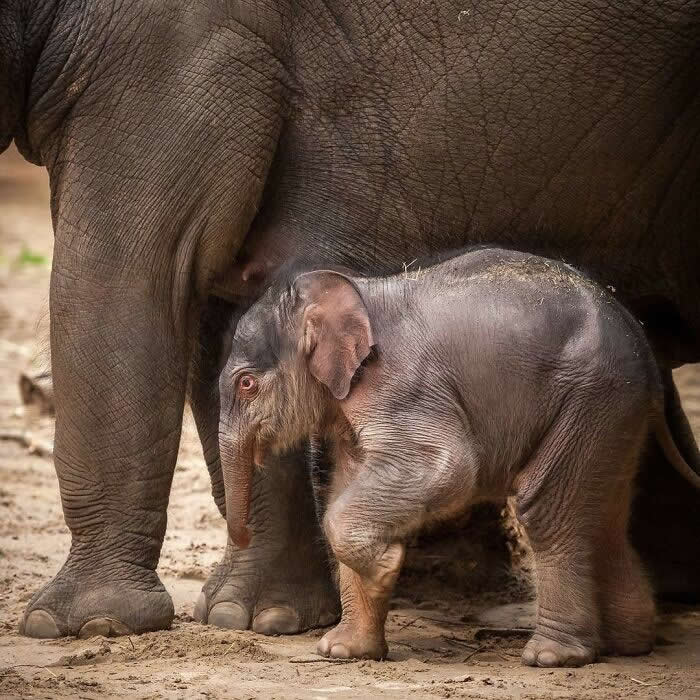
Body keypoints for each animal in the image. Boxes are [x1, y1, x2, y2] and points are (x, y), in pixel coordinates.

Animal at [217, 249, 700, 665]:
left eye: (246, 384)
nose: (241, 534)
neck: (354, 292)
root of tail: (643, 344)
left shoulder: (401, 385)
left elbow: (445, 465)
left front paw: (385, 565)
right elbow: (347, 483)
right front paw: (342, 651)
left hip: (591, 396)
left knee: (546, 509)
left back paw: (552, 656)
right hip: (613, 410)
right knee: (605, 518)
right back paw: (627, 645)